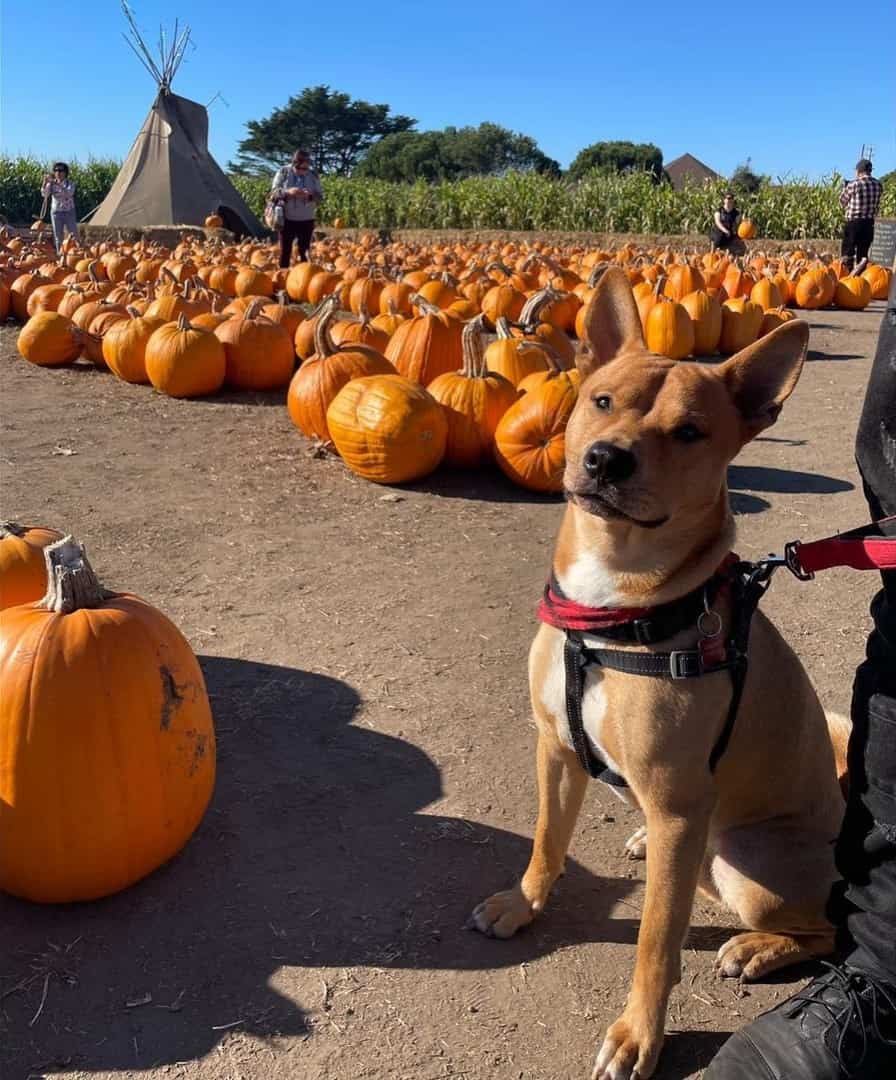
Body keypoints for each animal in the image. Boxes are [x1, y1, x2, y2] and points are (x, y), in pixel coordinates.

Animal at [470, 267, 850, 1080]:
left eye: (690, 432)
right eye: (601, 400)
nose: (606, 460)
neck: (613, 600)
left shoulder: (679, 805)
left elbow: (652, 940)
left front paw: (637, 1036)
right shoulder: (555, 749)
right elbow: (546, 841)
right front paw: (523, 904)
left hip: (745, 860)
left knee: (827, 929)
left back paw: (755, 948)